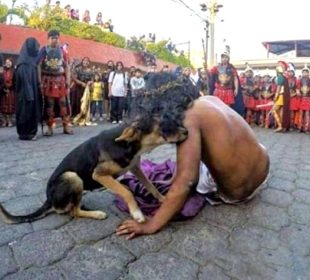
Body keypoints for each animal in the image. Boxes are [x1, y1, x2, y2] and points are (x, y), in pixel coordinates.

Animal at [0, 120, 186, 223]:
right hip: (73, 177)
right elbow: (126, 192)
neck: (127, 144)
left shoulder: (135, 167)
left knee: (72, 207)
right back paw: (96, 214)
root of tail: (48, 199)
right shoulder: (99, 174)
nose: (187, 131)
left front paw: (163, 199)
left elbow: (150, 185)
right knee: (73, 212)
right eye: (164, 126)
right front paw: (137, 213)